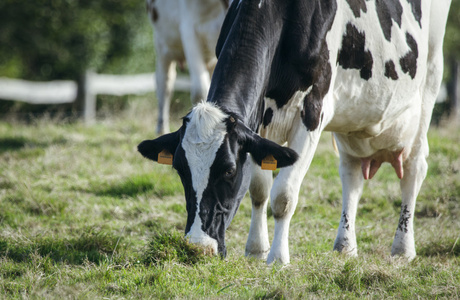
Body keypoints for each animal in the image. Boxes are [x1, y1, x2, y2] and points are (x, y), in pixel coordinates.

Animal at [138, 0, 452, 264]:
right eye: (180, 169)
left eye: (228, 170)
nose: (198, 247)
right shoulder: (258, 123)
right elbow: (259, 190)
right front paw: (256, 249)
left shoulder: (312, 112)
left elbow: (283, 195)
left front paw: (277, 258)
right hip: (353, 121)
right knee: (351, 173)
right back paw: (345, 246)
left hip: (430, 76)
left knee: (414, 168)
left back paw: (402, 249)